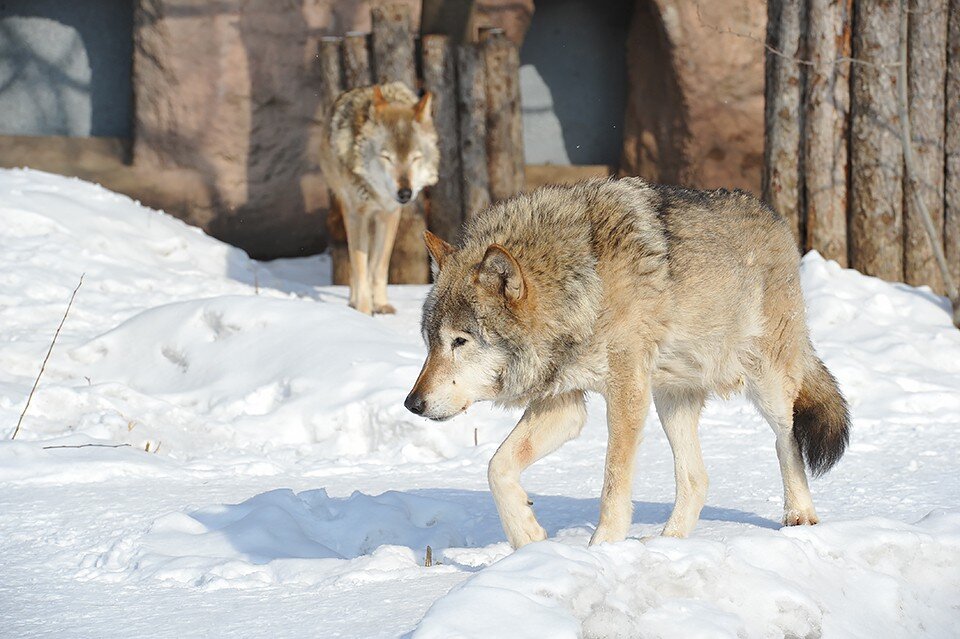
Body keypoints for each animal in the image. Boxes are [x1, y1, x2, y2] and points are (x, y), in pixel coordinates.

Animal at [322, 81, 442, 316]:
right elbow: (360, 264)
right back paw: (353, 301)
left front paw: (380, 304)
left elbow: (379, 266)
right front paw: (363, 309)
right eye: (387, 157)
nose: (405, 193)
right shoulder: (357, 214)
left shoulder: (389, 214)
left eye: (415, 158)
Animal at [404, 179, 848, 552]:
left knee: (787, 439)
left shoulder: (627, 392)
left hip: (766, 384)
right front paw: (528, 539)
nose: (412, 404)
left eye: (460, 341)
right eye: (430, 342)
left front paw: (602, 549)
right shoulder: (564, 403)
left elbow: (613, 482)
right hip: (672, 400)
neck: (581, 282)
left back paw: (800, 515)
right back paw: (668, 544)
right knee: (697, 479)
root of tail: (775, 218)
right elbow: (496, 467)